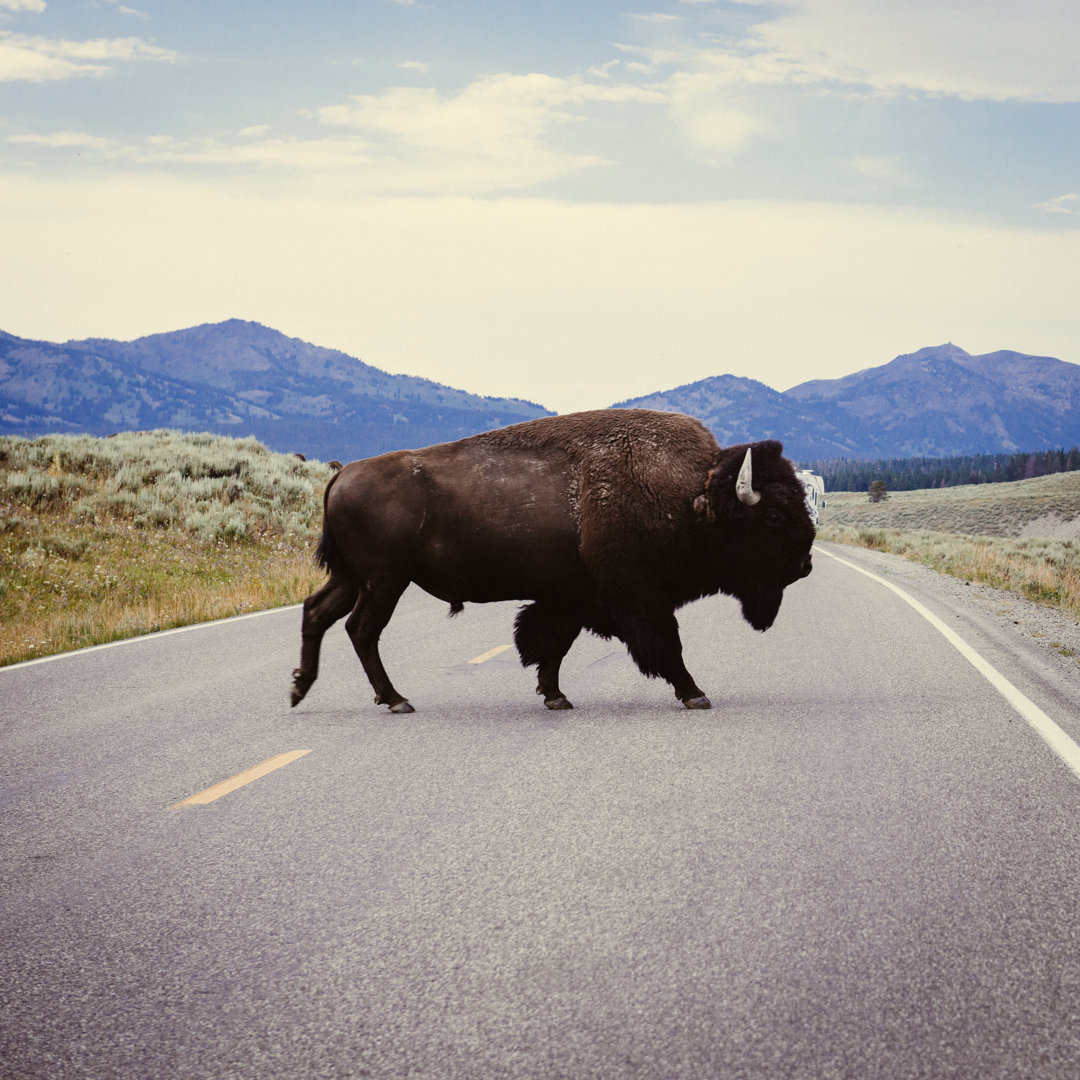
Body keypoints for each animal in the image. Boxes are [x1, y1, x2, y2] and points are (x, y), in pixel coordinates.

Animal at [291, 408, 812, 712]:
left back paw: (301, 688)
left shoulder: (572, 598)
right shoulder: (638, 597)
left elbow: (551, 646)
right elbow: (666, 646)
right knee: (362, 629)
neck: (692, 497)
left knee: (318, 613)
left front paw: (556, 696)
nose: (805, 564)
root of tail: (341, 475)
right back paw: (395, 700)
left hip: (353, 578)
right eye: (773, 517)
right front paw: (695, 694)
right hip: (384, 580)